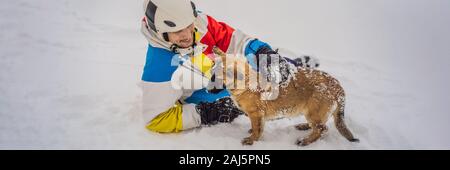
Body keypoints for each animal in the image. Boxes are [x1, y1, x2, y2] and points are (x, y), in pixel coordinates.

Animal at [212, 46, 358, 146]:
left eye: (215, 78)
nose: (208, 89)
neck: (247, 84)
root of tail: (337, 85)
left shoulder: (256, 113)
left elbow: (257, 129)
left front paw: (251, 140)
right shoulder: (258, 116)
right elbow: (258, 127)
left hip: (313, 112)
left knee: (322, 129)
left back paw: (305, 141)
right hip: (313, 112)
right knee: (320, 126)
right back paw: (304, 127)